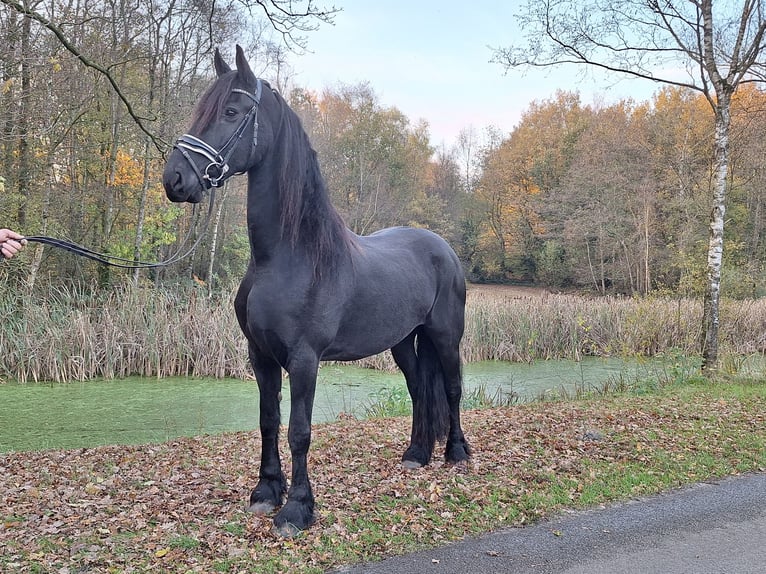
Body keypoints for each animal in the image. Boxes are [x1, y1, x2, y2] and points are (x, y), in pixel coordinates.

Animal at [162, 45, 471, 535]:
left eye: (231, 112)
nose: (174, 179)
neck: (289, 257)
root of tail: (442, 247)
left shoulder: (304, 360)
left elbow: (299, 431)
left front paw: (296, 509)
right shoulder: (261, 356)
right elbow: (269, 421)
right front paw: (266, 493)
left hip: (445, 335)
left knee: (454, 388)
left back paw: (456, 453)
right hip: (404, 342)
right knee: (420, 391)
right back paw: (416, 455)